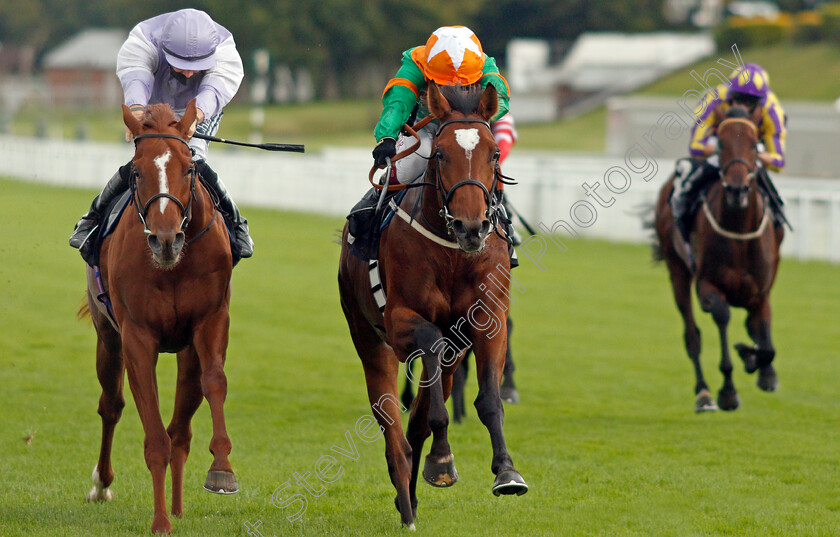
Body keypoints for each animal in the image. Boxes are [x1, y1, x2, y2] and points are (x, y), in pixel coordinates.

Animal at [80, 100, 236, 532]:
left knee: (181, 429)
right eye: (136, 171)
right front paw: (160, 521)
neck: (172, 267)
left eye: (189, 168)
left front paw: (222, 469)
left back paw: (180, 506)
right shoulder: (137, 337)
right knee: (111, 405)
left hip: (186, 352)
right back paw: (102, 485)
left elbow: (215, 381)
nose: (166, 240)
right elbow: (152, 436)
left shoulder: (210, 321)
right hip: (107, 337)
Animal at [338, 82, 528, 528]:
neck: (453, 254)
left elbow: (488, 398)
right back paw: (406, 502)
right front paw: (443, 461)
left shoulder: (487, 320)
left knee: (418, 418)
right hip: (367, 336)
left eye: (494, 153)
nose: (471, 226)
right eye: (440, 154)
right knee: (391, 422)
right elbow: (429, 344)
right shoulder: (401, 323)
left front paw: (506, 471)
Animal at [652, 107, 784, 412]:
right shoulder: (708, 285)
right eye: (721, 144)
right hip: (677, 270)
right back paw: (704, 394)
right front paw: (728, 391)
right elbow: (722, 316)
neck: (739, 233)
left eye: (754, 144)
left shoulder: (762, 291)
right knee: (692, 335)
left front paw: (758, 364)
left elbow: (766, 342)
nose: (737, 190)